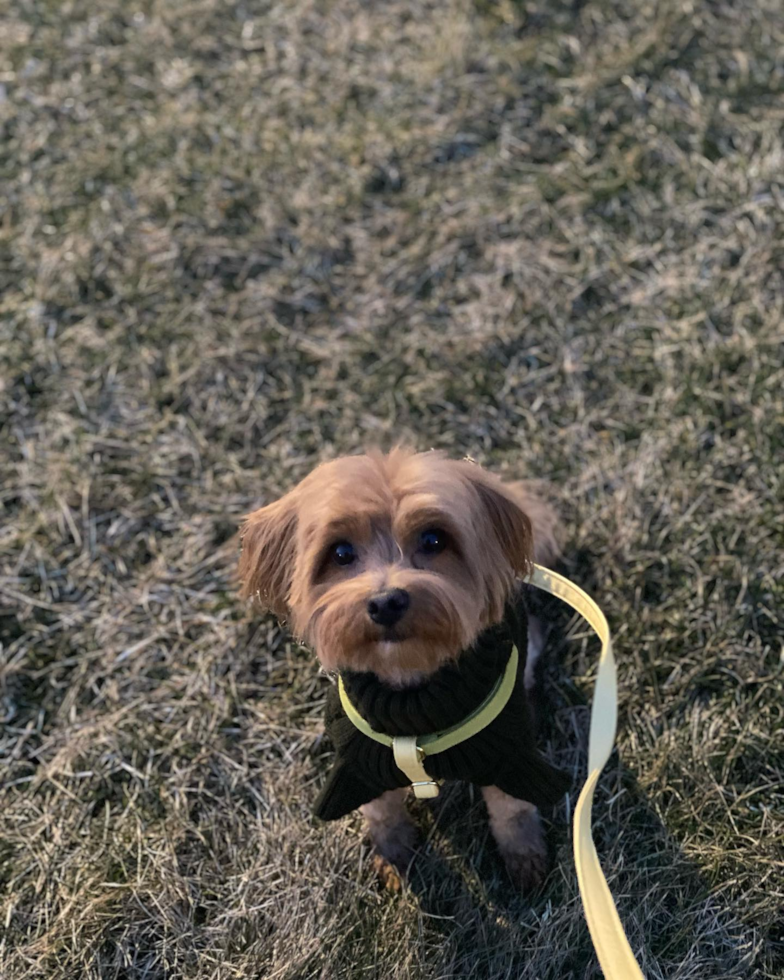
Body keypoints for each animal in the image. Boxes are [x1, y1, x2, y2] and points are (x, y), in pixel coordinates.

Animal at [239, 448, 568, 892]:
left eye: (433, 540)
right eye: (340, 553)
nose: (386, 602)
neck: (412, 688)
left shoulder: (509, 758)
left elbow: (512, 810)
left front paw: (525, 858)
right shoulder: (360, 767)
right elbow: (382, 814)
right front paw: (393, 858)